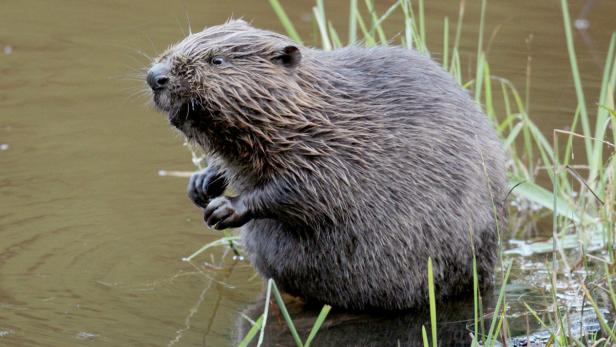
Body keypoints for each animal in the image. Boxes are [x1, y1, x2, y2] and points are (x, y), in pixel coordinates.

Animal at [147, 20, 508, 312]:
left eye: (217, 60)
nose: (155, 76)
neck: (311, 109)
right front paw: (201, 183)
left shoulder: (335, 151)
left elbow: (309, 191)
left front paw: (224, 208)